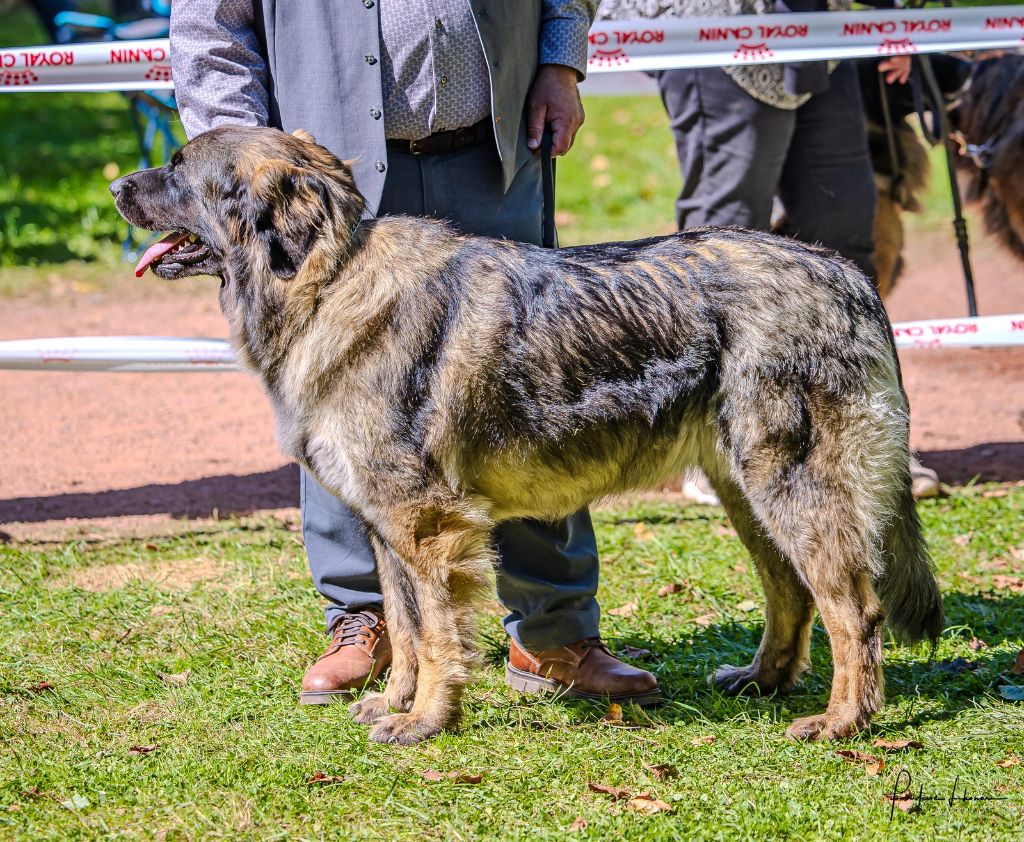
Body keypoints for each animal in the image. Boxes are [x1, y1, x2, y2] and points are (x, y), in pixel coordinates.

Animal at [110, 125, 942, 745]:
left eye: (178, 169)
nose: (118, 186)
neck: (329, 278)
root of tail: (846, 273)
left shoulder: (427, 527)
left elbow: (437, 637)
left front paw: (426, 721)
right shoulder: (388, 529)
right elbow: (404, 630)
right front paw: (397, 701)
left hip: (790, 483)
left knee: (852, 607)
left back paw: (843, 720)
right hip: (747, 487)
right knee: (791, 591)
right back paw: (764, 681)